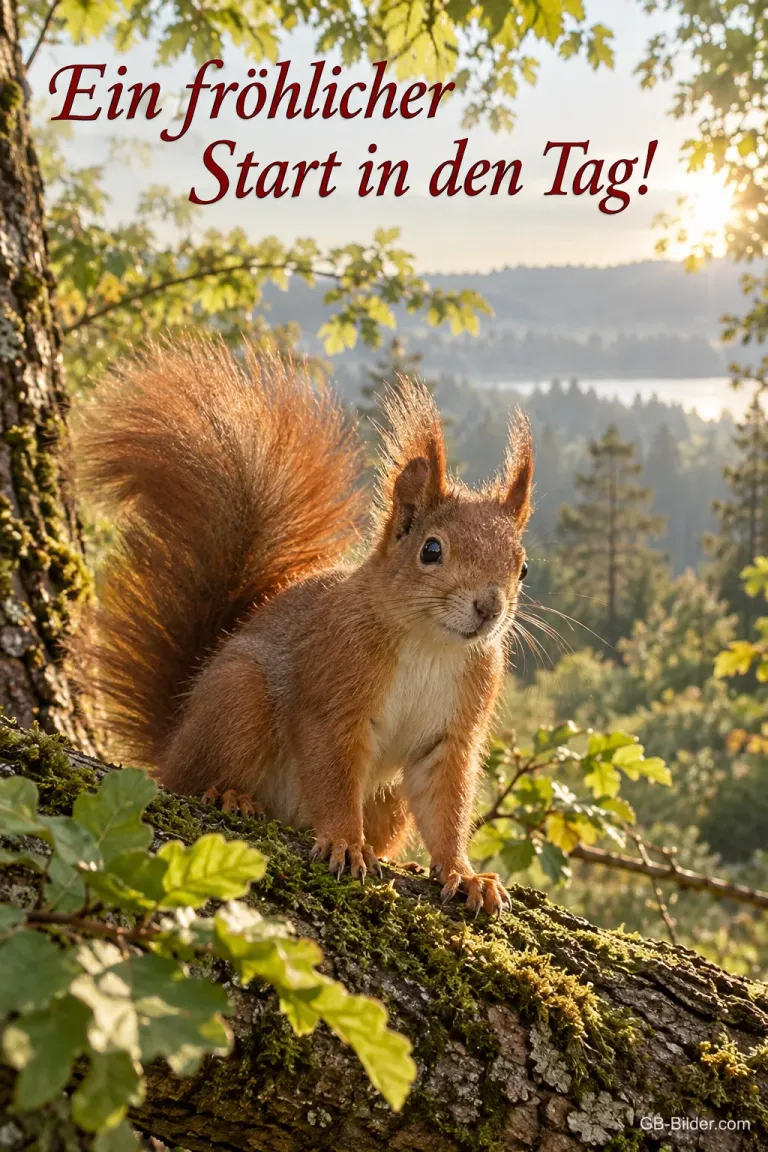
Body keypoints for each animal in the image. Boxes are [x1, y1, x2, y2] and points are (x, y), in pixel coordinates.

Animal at [73, 334, 533, 916]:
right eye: (432, 550)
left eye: (523, 567)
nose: (489, 607)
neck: (431, 645)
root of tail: (173, 741)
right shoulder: (332, 690)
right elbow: (332, 776)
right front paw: (343, 842)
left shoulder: (452, 733)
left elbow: (446, 808)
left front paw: (464, 873)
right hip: (238, 699)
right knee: (192, 777)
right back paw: (227, 794)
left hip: (386, 802)